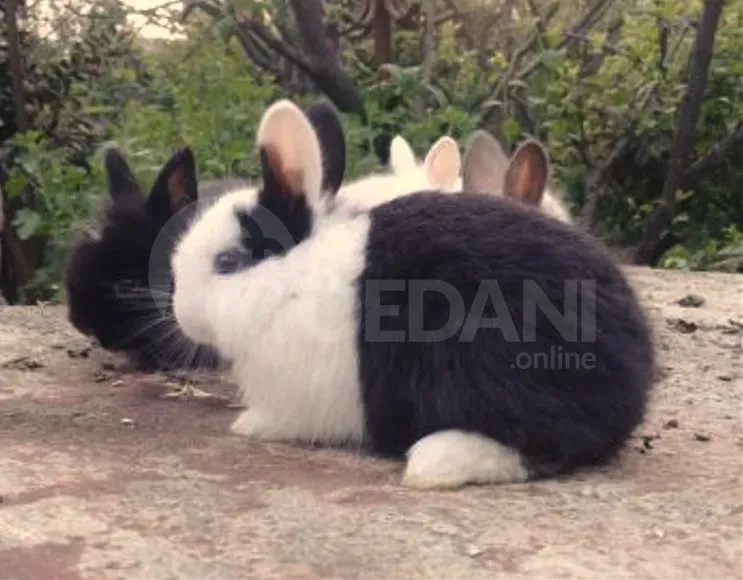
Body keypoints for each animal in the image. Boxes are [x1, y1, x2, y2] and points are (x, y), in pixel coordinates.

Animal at [171, 99, 655, 490]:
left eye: (227, 262)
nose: (180, 313)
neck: (292, 282)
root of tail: (633, 386)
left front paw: (249, 425)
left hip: (493, 365)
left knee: (541, 446)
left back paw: (435, 462)